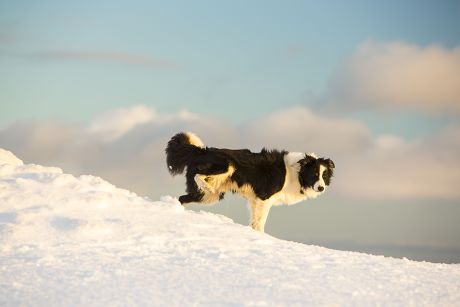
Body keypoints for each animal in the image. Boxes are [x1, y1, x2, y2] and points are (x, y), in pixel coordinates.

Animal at [165, 132, 334, 231]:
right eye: (314, 174)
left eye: (324, 176)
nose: (321, 188)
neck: (296, 172)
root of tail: (200, 150)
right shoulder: (264, 198)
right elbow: (260, 222)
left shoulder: (255, 200)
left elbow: (255, 221)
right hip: (226, 165)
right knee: (199, 176)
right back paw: (205, 186)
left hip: (208, 197)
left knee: (182, 198)